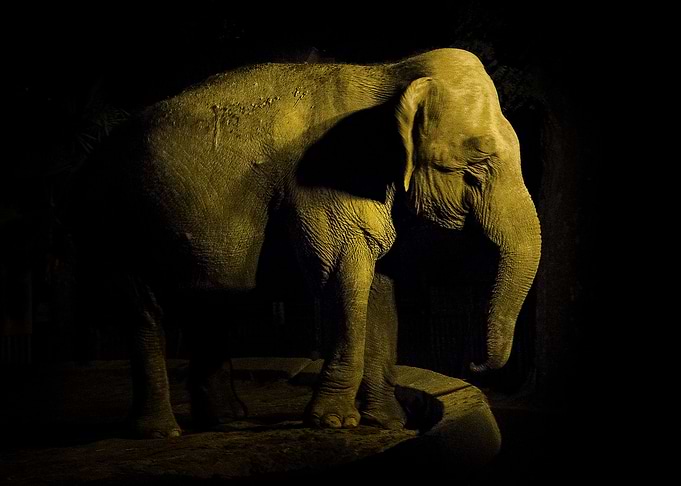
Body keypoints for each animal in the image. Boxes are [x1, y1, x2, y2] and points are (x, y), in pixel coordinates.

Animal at [66, 48, 541, 438]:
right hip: (113, 223)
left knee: (208, 303)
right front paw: (334, 423)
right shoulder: (322, 183)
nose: (473, 363)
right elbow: (341, 277)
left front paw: (387, 423)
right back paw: (160, 432)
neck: (388, 73)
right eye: (478, 166)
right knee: (143, 309)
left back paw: (227, 420)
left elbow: (379, 287)